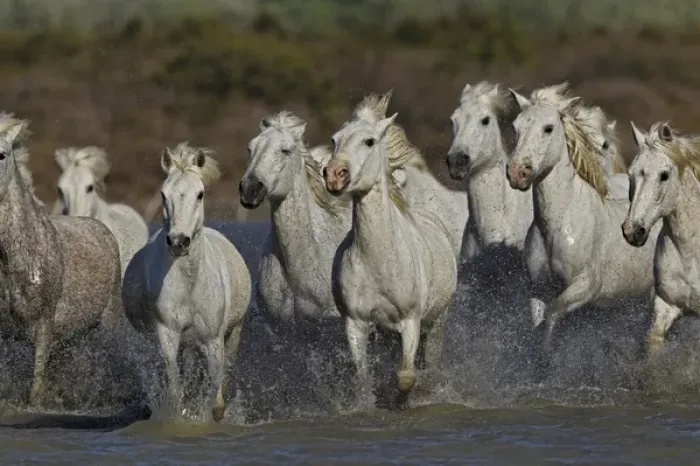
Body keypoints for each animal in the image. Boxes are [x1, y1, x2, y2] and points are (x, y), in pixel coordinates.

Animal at [122, 142, 251, 422]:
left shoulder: (213, 340)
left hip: (233, 333)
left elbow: (216, 401)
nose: (179, 241)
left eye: (200, 194)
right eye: (163, 194)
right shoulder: (168, 335)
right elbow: (176, 392)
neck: (190, 285)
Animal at [324, 112, 457, 402]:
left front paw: (403, 401)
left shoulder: (411, 321)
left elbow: (406, 377)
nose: (334, 175)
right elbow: (363, 380)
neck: (381, 261)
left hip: (437, 321)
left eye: (369, 141)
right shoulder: (356, 324)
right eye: (334, 140)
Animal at [505, 86, 660, 367]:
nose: (517, 172)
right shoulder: (537, 288)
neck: (558, 224)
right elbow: (538, 321)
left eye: (548, 128)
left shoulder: (585, 286)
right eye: (516, 127)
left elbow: (552, 316)